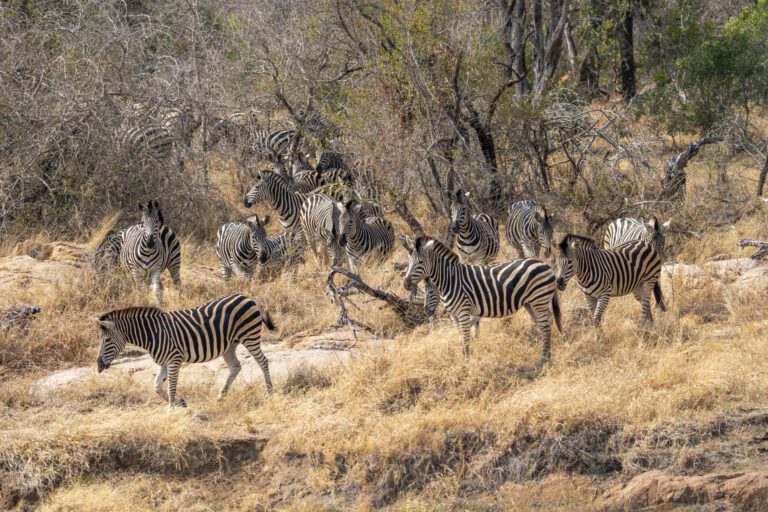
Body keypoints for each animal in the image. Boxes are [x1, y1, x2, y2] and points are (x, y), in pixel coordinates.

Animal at [95, 294, 274, 407]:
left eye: (107, 340)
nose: (98, 365)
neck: (153, 334)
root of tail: (248, 298)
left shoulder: (174, 359)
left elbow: (171, 386)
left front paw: (171, 410)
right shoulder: (164, 362)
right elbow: (156, 386)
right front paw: (179, 403)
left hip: (249, 336)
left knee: (263, 361)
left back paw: (270, 393)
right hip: (230, 345)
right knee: (236, 366)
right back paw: (221, 396)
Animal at [403, 237, 561, 366]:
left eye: (421, 262)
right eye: (409, 262)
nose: (405, 284)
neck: (451, 280)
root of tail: (545, 264)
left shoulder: (463, 312)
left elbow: (466, 337)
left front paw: (466, 363)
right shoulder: (455, 316)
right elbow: (461, 336)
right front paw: (463, 358)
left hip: (538, 300)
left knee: (545, 327)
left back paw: (543, 361)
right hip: (531, 303)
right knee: (543, 325)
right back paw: (547, 356)